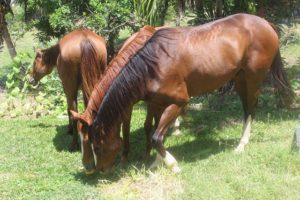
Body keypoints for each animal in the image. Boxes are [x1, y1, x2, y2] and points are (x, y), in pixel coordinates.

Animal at [84, 13, 292, 173]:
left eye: (97, 146)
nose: (99, 169)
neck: (152, 66)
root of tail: (266, 23)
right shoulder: (158, 103)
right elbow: (155, 132)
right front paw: (156, 163)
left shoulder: (179, 102)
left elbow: (157, 137)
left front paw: (173, 165)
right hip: (240, 78)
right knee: (246, 107)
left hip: (253, 77)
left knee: (251, 107)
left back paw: (241, 145)